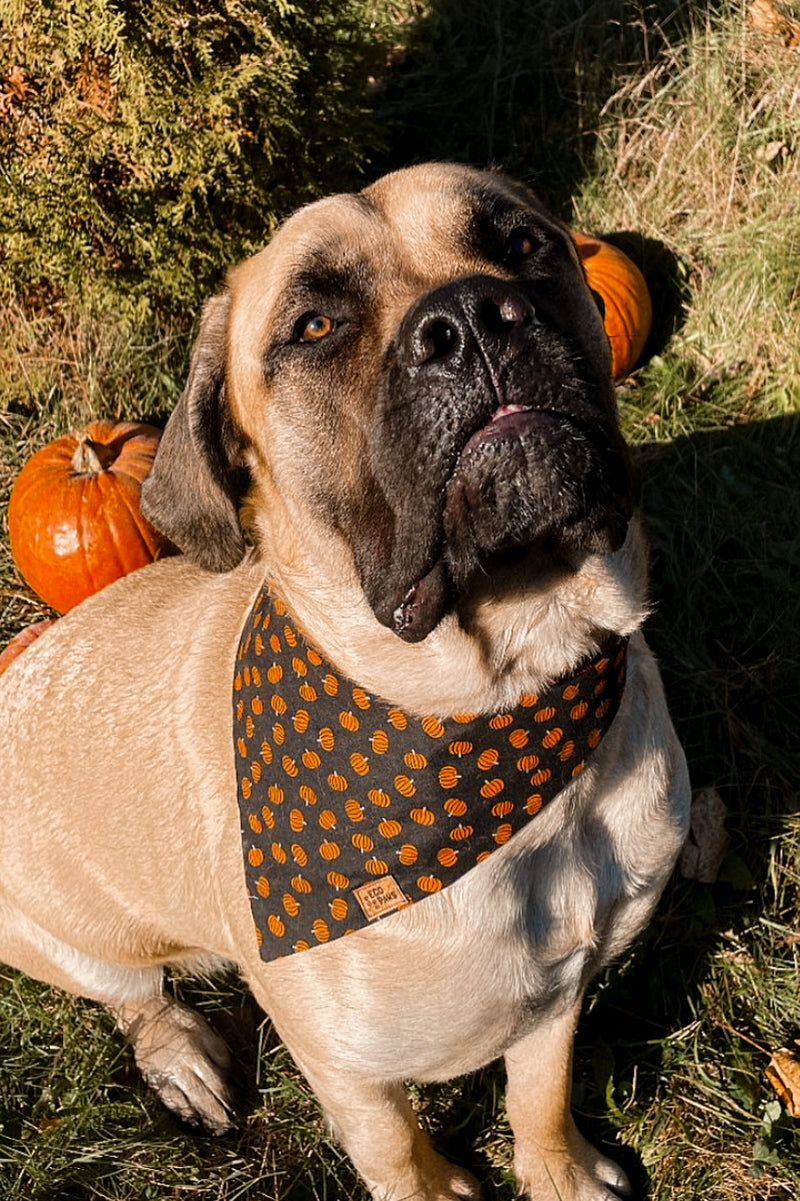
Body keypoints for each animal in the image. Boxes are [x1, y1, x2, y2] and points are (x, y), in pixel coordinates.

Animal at [0, 162, 687, 1201]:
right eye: (313, 326)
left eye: (523, 242)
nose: (473, 317)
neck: (504, 698)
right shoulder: (350, 1069)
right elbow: (396, 1149)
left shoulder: (559, 990)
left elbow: (542, 1091)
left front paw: (561, 1173)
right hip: (53, 925)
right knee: (135, 994)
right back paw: (182, 1054)